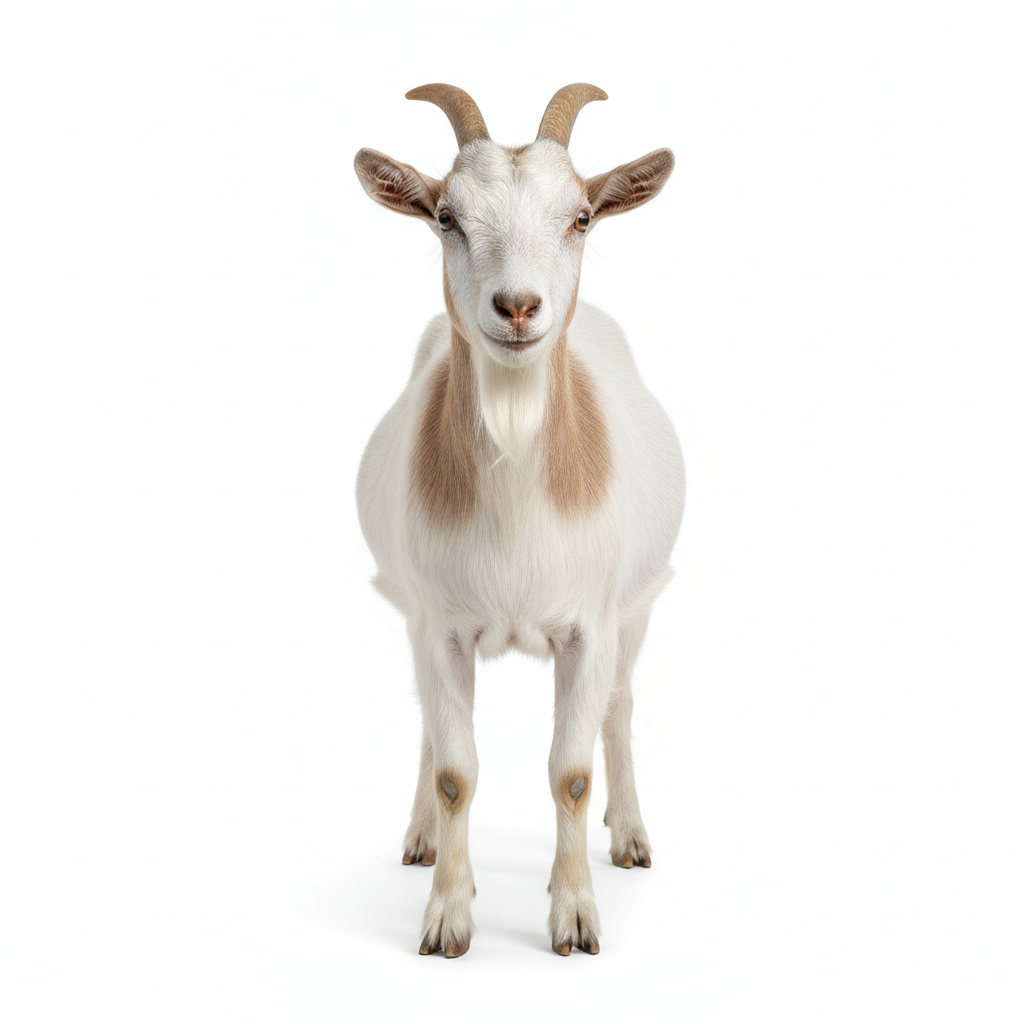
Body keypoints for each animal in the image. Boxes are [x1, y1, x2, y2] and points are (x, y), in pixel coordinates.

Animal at [353, 84, 684, 957]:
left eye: (581, 216)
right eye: (446, 216)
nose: (518, 306)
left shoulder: (590, 626)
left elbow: (571, 772)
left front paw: (574, 917)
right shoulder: (439, 622)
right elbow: (455, 770)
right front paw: (448, 915)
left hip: (638, 607)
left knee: (620, 711)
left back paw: (630, 836)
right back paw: (420, 837)